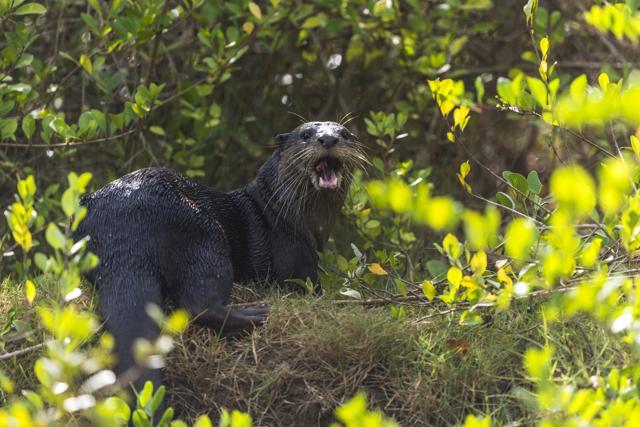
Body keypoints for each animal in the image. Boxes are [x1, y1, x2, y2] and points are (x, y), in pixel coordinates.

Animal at [76, 121, 365, 389]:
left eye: (345, 134)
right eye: (306, 134)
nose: (328, 139)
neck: (284, 214)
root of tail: (122, 229)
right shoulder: (295, 255)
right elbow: (307, 289)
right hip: (202, 232)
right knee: (197, 303)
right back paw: (254, 314)